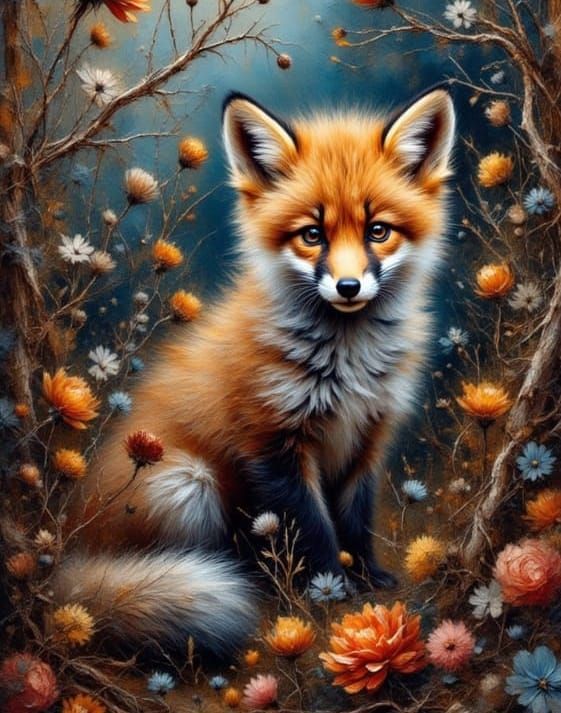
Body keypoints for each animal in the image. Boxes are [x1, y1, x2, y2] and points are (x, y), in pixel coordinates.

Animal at [54, 87, 456, 659]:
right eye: (312, 234)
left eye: (378, 231)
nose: (349, 287)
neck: (348, 365)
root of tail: (69, 547)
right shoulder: (273, 445)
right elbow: (315, 529)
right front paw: (329, 588)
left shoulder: (367, 438)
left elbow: (355, 520)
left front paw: (366, 576)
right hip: (186, 483)